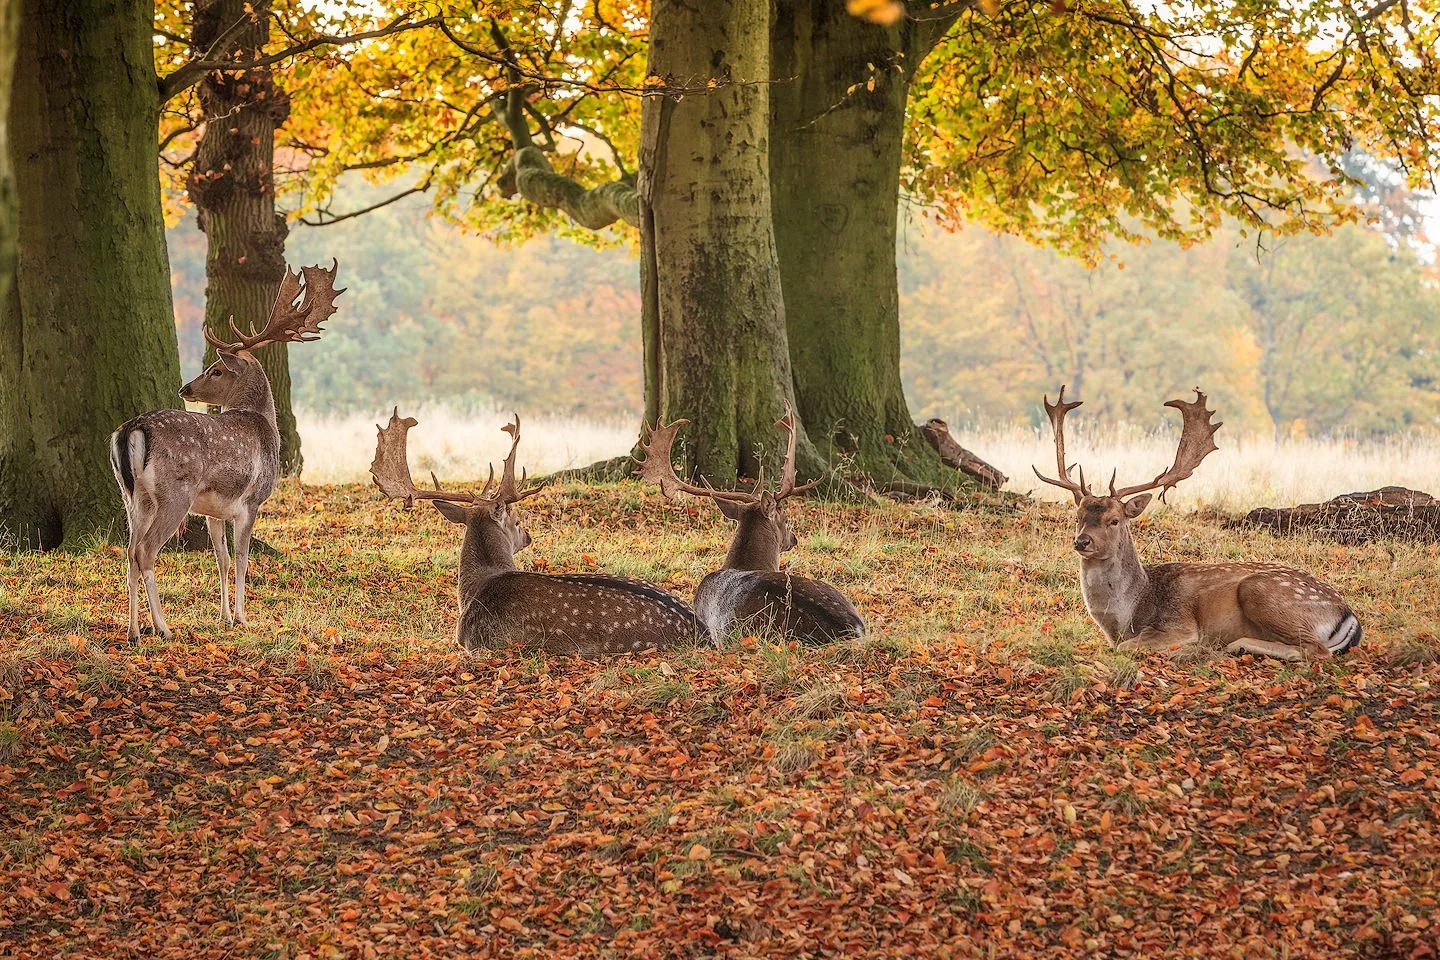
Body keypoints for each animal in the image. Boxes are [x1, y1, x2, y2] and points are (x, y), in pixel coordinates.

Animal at [109, 261, 344, 640]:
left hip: (131, 494)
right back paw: (163, 627)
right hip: (175, 492)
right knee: (145, 551)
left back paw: (133, 630)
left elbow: (222, 558)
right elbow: (244, 559)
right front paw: (243, 617)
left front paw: (224, 616)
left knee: (129, 551)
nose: (185, 388)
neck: (264, 425)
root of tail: (134, 427)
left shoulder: (214, 511)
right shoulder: (251, 501)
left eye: (216, 370)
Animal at [1033, 386, 1362, 662]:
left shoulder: (1178, 624)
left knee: (1317, 650)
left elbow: (1127, 647)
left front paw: (1189, 648)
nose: (1082, 541)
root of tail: (1349, 615)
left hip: (1263, 592)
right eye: (1078, 516)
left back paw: (1234, 645)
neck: (1128, 616)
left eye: (1114, 520)